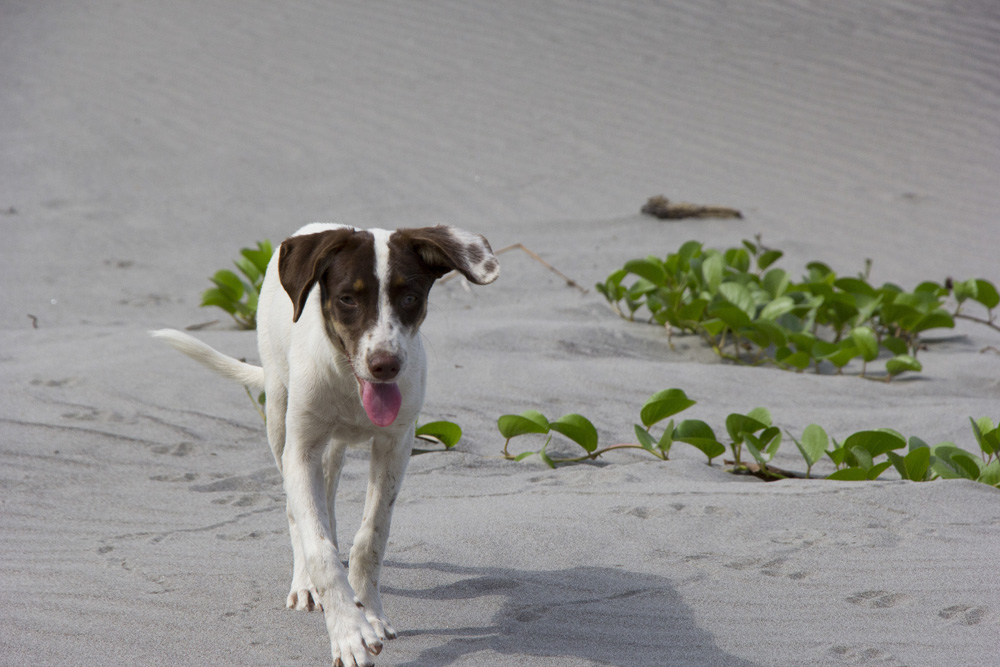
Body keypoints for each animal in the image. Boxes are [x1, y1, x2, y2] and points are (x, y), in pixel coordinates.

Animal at [151, 226, 496, 667]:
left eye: (410, 297)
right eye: (348, 298)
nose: (386, 365)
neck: (350, 383)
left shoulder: (395, 446)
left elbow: (371, 536)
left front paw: (370, 612)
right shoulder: (301, 451)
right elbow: (319, 547)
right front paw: (349, 631)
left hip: (331, 447)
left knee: (328, 498)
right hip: (280, 414)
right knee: (297, 511)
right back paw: (304, 584)